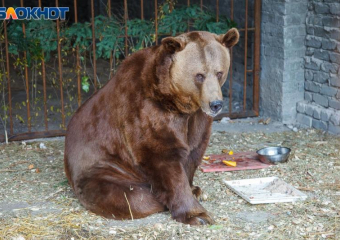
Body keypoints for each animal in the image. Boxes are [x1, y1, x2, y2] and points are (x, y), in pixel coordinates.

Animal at [63, 28, 239, 225]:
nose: (216, 104)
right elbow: (162, 157)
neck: (177, 102)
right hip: (102, 169)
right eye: (199, 75)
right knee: (133, 197)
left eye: (219, 73)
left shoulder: (197, 119)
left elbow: (194, 151)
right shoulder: (145, 111)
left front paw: (194, 189)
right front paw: (197, 215)